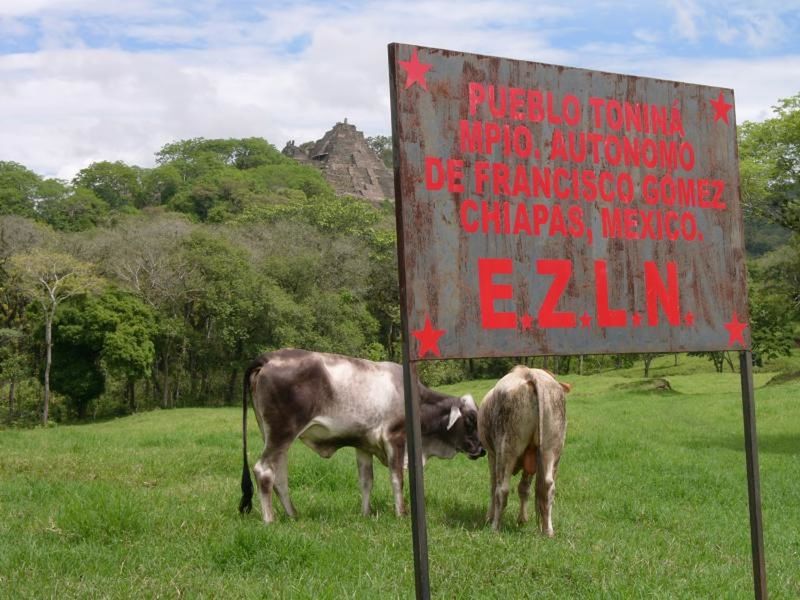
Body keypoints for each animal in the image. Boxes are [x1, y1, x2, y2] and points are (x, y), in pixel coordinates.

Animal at [238, 350, 484, 524]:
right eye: (470, 421)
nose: (481, 450)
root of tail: (268, 358)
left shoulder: (363, 444)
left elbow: (366, 481)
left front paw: (366, 513)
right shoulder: (395, 438)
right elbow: (397, 479)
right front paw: (401, 513)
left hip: (272, 436)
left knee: (279, 476)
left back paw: (293, 515)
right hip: (282, 433)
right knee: (264, 470)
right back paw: (270, 519)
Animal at [476, 366, 568, 536]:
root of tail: (529, 373)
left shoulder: (492, 455)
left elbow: (493, 486)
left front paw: (488, 517)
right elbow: (524, 488)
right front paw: (522, 519)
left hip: (506, 449)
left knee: (501, 489)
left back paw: (495, 527)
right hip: (551, 449)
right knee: (548, 486)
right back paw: (548, 530)